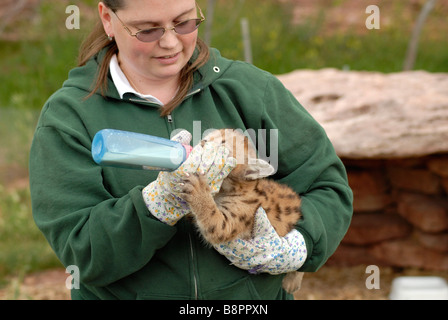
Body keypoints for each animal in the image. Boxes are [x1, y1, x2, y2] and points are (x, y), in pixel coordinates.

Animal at [178, 129, 304, 294]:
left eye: (222, 144)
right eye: (209, 137)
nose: (202, 142)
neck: (227, 189)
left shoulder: (225, 225)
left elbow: (211, 216)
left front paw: (198, 190)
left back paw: (292, 281)